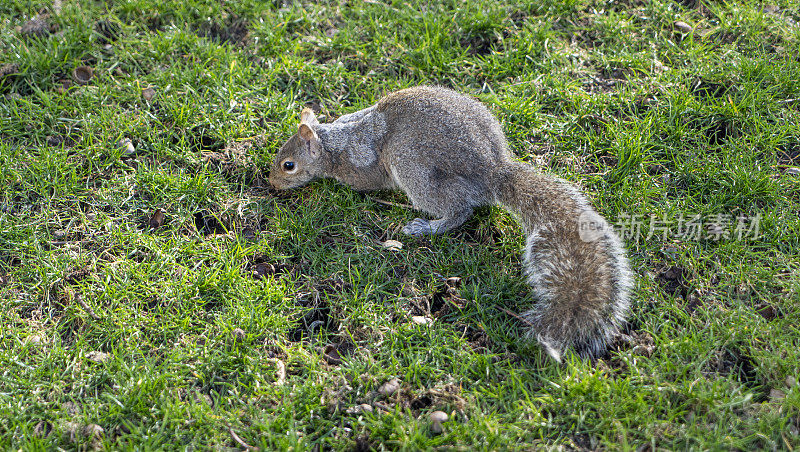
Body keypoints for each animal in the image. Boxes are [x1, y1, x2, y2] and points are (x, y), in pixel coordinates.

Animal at [268, 84, 632, 360]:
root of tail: (492, 171)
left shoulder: (363, 166)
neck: (334, 143)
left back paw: (427, 227)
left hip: (411, 167)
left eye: (288, 165)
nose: (271, 184)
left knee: (459, 210)